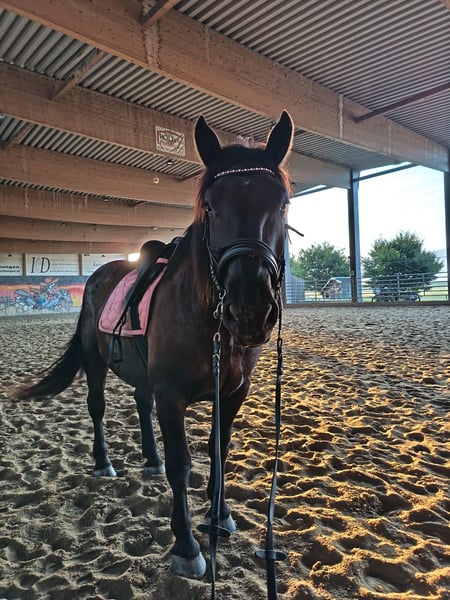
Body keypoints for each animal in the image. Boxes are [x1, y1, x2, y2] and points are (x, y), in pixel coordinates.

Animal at [16, 111, 294, 581]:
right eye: (210, 207)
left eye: (283, 204)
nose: (249, 311)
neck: (208, 322)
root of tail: (99, 274)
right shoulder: (171, 395)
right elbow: (182, 465)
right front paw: (187, 546)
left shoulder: (232, 393)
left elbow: (219, 452)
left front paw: (221, 516)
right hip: (96, 363)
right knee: (97, 408)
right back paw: (104, 462)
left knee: (139, 403)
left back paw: (149, 459)